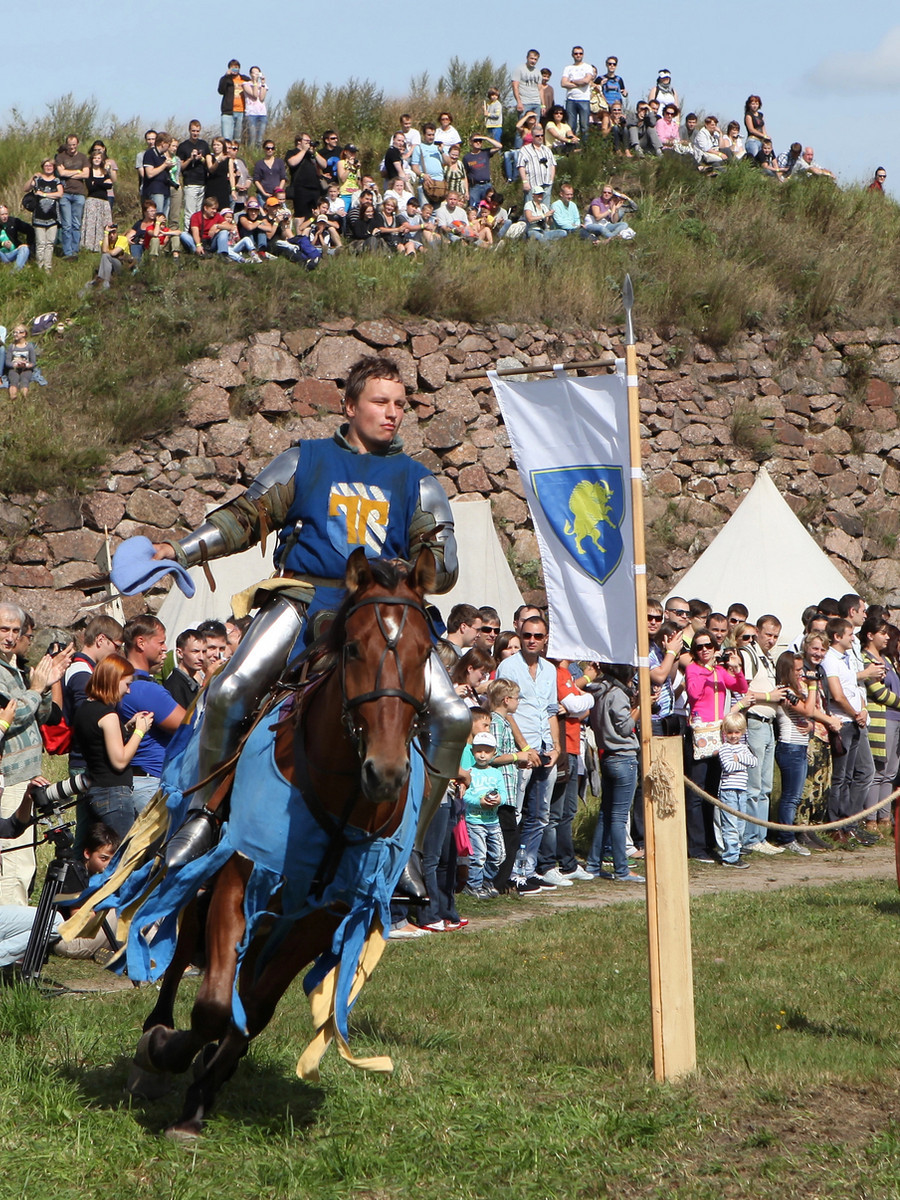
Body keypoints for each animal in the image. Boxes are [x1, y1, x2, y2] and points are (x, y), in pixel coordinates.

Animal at [133, 549, 436, 1137]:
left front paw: (205, 1084)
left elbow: (252, 1010)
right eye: (353, 647)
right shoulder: (238, 880)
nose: (386, 773)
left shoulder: (320, 916)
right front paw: (170, 1052)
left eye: (426, 652)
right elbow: (213, 1005)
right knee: (183, 946)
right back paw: (156, 1035)